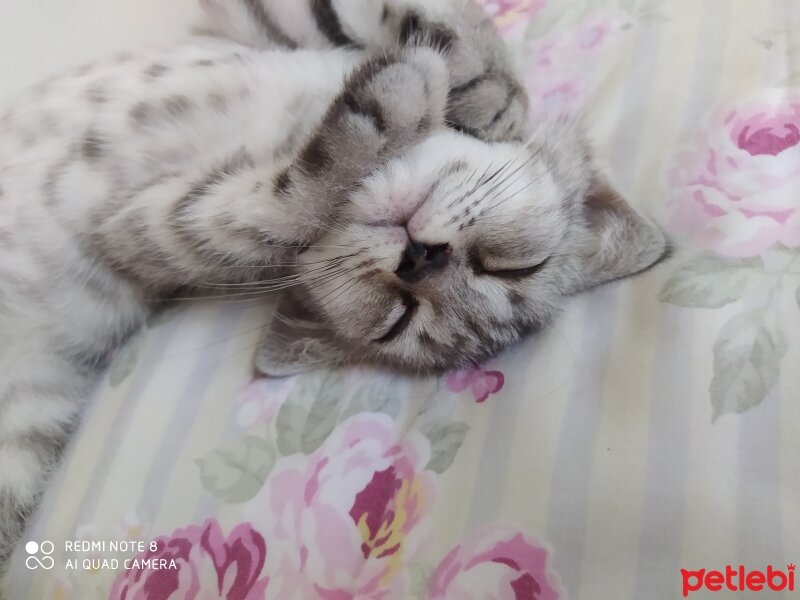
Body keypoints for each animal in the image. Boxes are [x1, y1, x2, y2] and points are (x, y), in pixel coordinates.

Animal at [0, 0, 668, 572]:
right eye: (512, 266)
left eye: (399, 319)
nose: (420, 261)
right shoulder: (242, 26)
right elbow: (404, 17)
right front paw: (487, 89)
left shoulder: (139, 226)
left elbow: (265, 212)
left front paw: (399, 102)